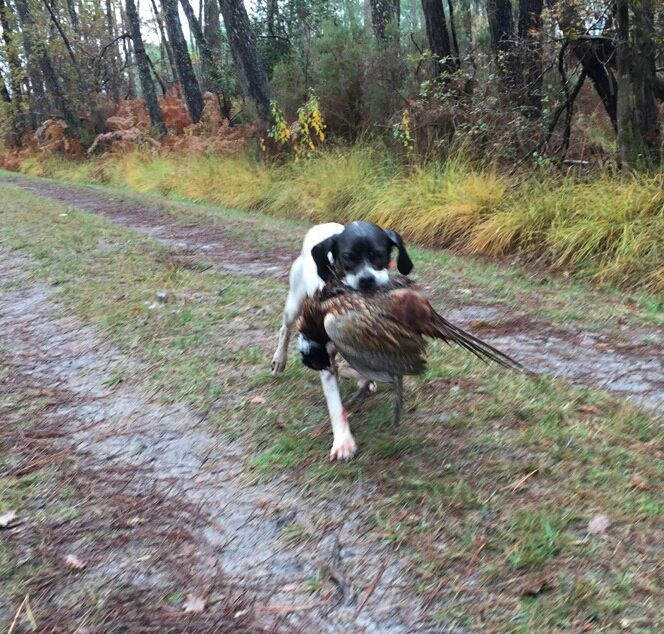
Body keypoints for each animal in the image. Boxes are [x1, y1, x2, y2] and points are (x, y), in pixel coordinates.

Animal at [272, 221, 412, 460]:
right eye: (348, 257)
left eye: (378, 254)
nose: (366, 279)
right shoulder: (322, 355)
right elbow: (335, 405)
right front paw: (343, 441)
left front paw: (366, 380)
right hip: (294, 305)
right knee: (285, 328)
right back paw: (279, 359)